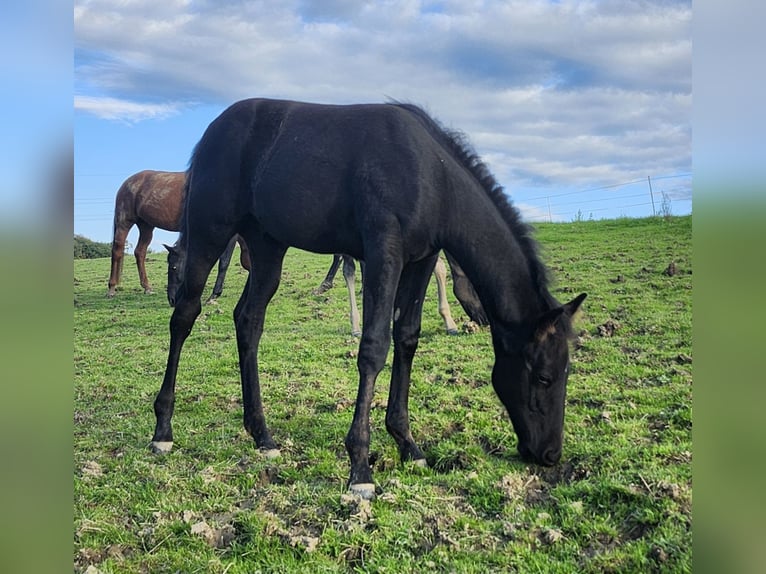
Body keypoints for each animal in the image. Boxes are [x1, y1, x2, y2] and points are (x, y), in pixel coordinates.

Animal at [106, 170, 247, 301]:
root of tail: (126, 183)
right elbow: (224, 262)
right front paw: (214, 295)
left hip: (146, 226)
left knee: (140, 252)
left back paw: (147, 287)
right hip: (124, 223)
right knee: (117, 251)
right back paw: (112, 289)